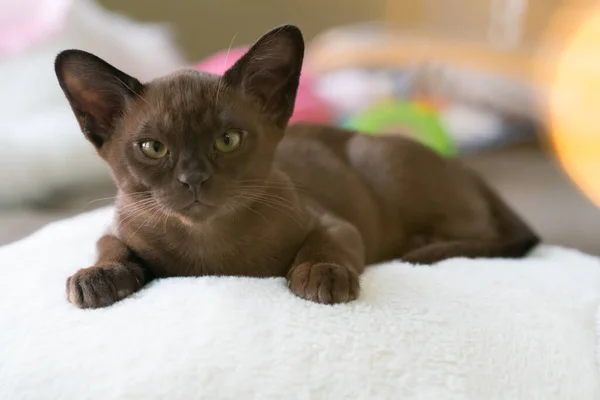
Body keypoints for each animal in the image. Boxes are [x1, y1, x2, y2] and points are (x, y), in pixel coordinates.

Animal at [55, 25, 540, 308]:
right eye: (153, 148)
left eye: (228, 140)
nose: (193, 180)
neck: (210, 251)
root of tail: (467, 169)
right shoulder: (118, 227)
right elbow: (109, 247)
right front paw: (97, 279)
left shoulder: (335, 223)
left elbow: (325, 245)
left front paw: (322, 276)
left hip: (376, 157)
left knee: (481, 234)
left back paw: (419, 246)